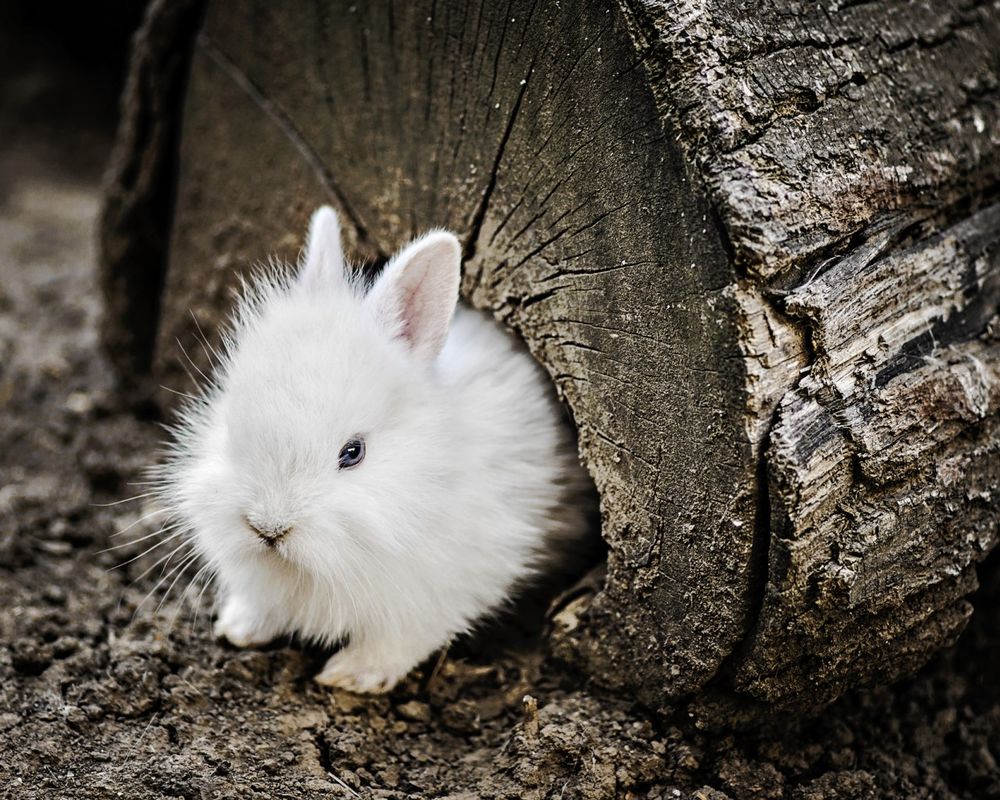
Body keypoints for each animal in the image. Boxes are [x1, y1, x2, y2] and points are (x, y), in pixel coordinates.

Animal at [156, 206, 592, 692]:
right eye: (231, 425)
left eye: (353, 452)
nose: (268, 529)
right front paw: (238, 629)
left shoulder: (442, 591)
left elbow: (397, 642)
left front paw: (349, 676)